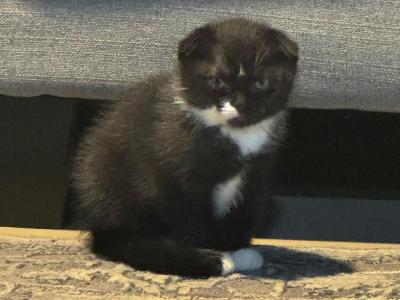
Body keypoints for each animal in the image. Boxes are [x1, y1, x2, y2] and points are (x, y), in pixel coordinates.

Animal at [69, 17, 298, 278]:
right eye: (217, 80)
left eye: (261, 83)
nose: (239, 104)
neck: (236, 136)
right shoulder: (174, 176)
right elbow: (190, 221)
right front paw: (210, 255)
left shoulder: (256, 176)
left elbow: (242, 212)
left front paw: (237, 250)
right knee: (123, 241)